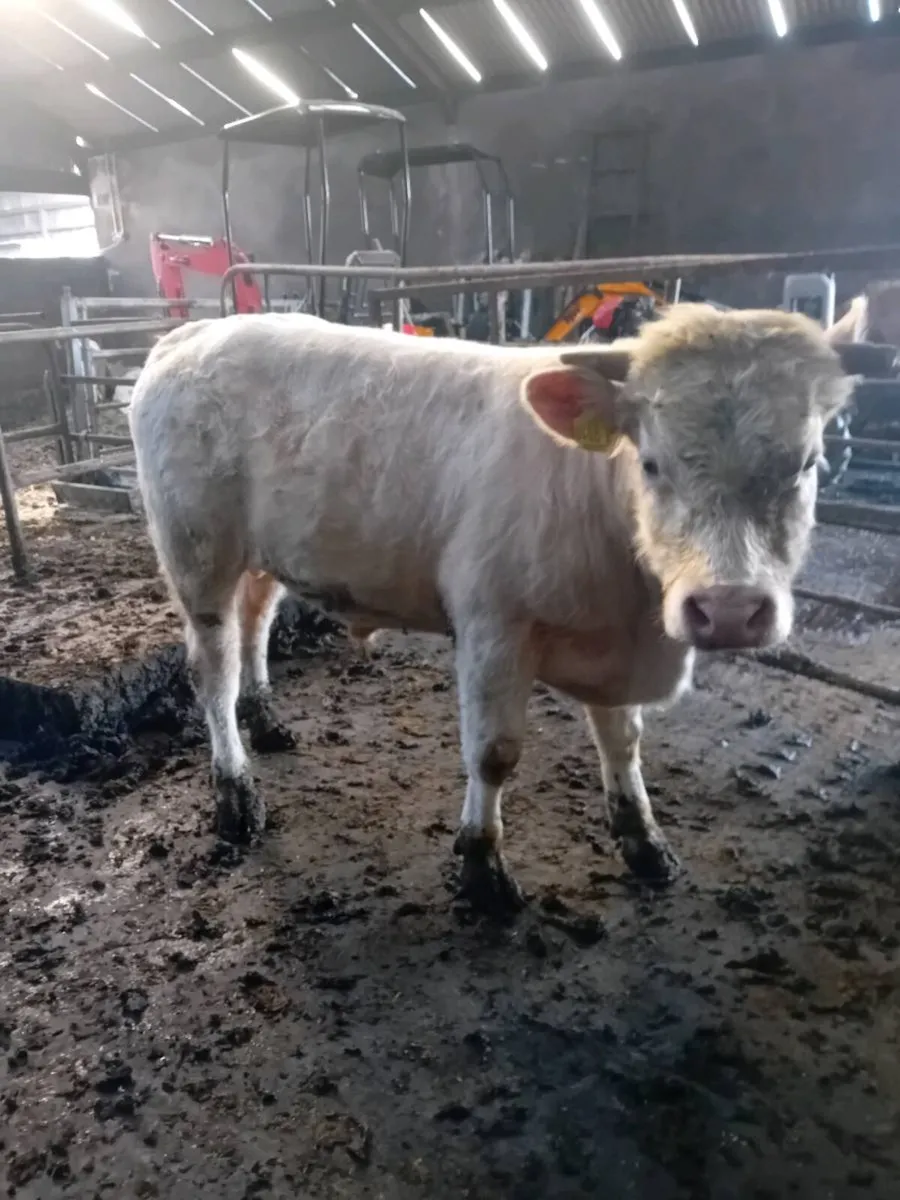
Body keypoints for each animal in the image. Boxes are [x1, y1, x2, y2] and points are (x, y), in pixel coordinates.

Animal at [129, 306, 855, 912]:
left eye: (806, 464)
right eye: (651, 463)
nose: (728, 609)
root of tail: (195, 331)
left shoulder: (613, 646)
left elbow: (622, 741)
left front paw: (644, 840)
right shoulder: (493, 626)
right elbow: (493, 754)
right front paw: (482, 867)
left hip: (261, 552)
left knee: (255, 623)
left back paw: (267, 718)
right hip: (197, 552)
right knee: (214, 669)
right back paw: (235, 793)